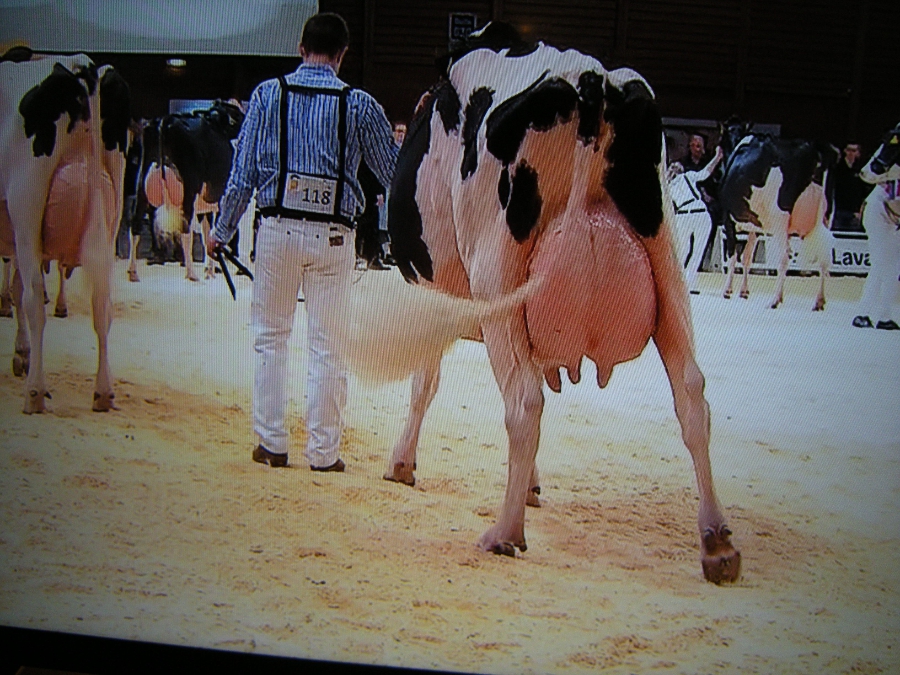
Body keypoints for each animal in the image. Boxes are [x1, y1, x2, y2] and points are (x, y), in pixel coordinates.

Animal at [0, 48, 130, 412]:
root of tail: (83, 65)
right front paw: (21, 353)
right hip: (110, 210)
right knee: (102, 303)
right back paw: (103, 391)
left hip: (27, 206)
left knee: (33, 298)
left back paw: (35, 392)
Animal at [130, 100, 243, 282]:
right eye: (237, 116)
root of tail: (165, 121)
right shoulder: (220, 202)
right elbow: (214, 234)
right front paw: (210, 270)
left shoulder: (205, 206)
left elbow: (206, 234)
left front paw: (210, 271)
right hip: (189, 190)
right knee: (185, 231)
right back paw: (191, 274)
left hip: (142, 186)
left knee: (135, 225)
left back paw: (133, 272)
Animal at [384, 25, 740, 588]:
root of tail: (590, 78)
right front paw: (530, 484)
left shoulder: (433, 293)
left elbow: (425, 380)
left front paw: (402, 463)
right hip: (668, 265)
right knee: (691, 394)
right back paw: (718, 543)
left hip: (497, 273)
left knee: (524, 402)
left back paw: (504, 532)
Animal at [716, 123, 836, 308]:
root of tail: (813, 147)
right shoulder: (755, 226)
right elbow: (747, 257)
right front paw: (744, 291)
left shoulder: (728, 219)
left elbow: (733, 255)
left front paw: (727, 290)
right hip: (826, 218)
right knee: (825, 257)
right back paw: (819, 301)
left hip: (780, 219)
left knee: (784, 256)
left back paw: (775, 299)